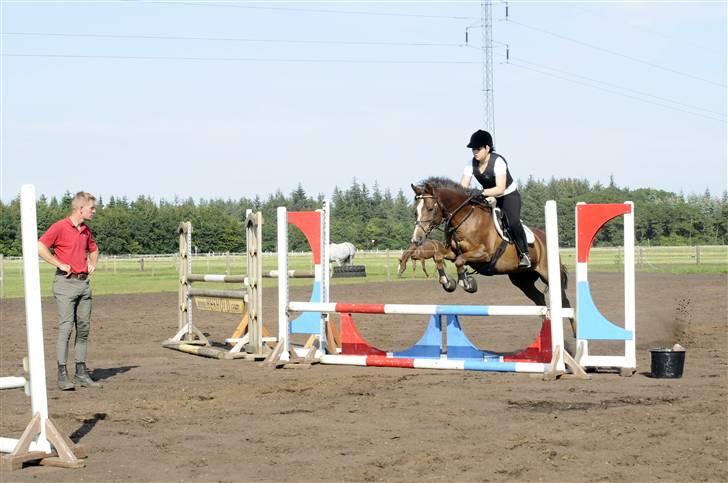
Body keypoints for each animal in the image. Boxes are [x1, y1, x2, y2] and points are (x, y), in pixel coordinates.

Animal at [410, 178, 576, 318]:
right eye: (415, 211)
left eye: (430, 209)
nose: (416, 239)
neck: (464, 220)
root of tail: (544, 236)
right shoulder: (452, 252)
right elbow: (440, 256)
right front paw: (447, 282)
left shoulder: (484, 254)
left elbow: (460, 260)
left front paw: (467, 283)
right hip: (522, 280)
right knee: (540, 299)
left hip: (548, 274)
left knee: (565, 303)